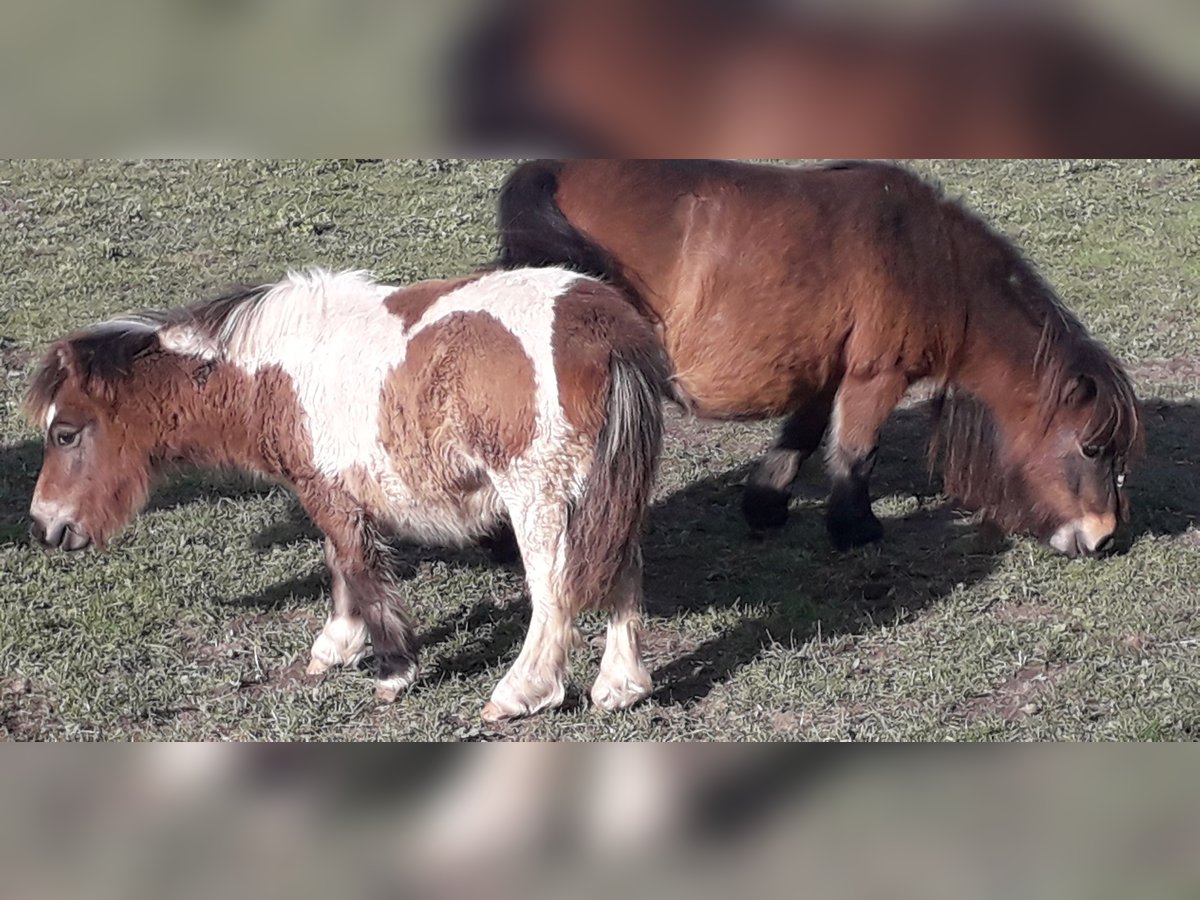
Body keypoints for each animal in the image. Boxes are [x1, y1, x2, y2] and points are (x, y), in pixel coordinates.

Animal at [25, 264, 667, 724]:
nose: (45, 525)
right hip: (607, 494)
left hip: (539, 495)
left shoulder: (326, 490)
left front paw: (391, 672)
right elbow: (339, 563)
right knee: (625, 567)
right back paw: (621, 686)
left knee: (554, 591)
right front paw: (337, 646)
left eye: (65, 433)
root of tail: (605, 332)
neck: (273, 371)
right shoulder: (339, 492)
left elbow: (356, 566)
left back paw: (519, 693)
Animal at [496, 160, 1142, 556]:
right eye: (1091, 448)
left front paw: (765, 505)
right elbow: (857, 452)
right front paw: (856, 528)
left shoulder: (827, 369)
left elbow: (802, 437)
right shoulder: (877, 374)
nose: (1106, 537)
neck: (933, 260)